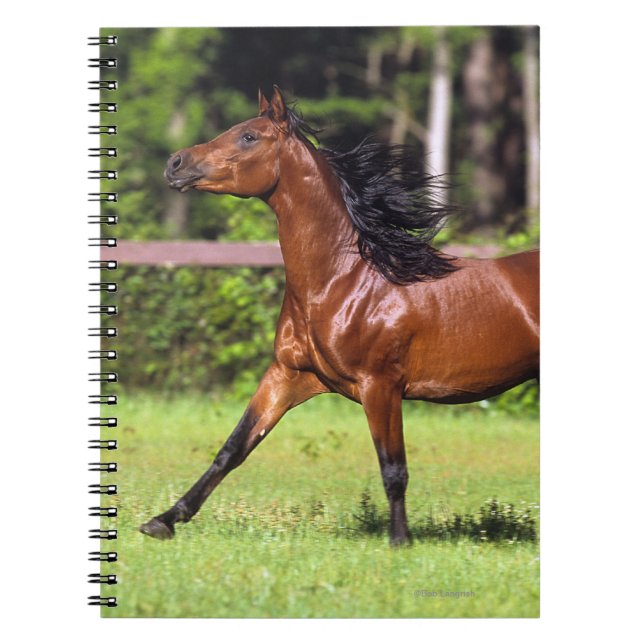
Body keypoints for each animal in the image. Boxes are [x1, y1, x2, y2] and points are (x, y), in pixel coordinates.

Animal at [140, 86, 539, 546]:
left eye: (249, 136)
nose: (175, 163)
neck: (345, 281)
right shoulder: (288, 375)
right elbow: (232, 449)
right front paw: (164, 520)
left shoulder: (380, 386)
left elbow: (393, 469)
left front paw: (400, 542)